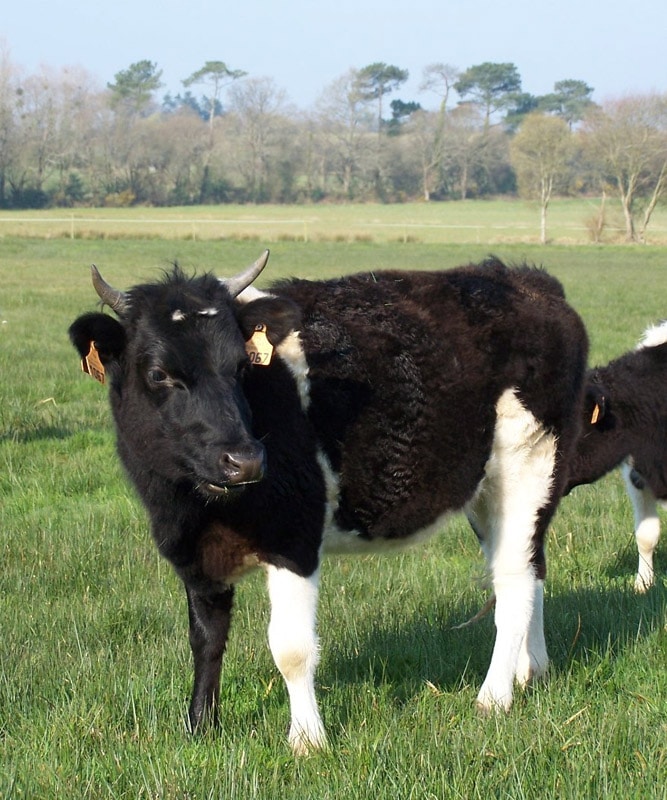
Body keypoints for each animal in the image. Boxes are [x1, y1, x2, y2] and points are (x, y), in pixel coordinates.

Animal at [69, 252, 588, 753]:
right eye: (159, 374)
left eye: (241, 367)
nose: (244, 460)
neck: (199, 509)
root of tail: (526, 280)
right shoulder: (192, 552)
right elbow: (206, 639)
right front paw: (200, 727)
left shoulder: (294, 538)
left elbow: (291, 648)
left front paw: (307, 740)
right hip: (489, 492)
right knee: (531, 566)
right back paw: (532, 670)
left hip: (528, 467)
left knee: (515, 581)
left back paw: (494, 697)